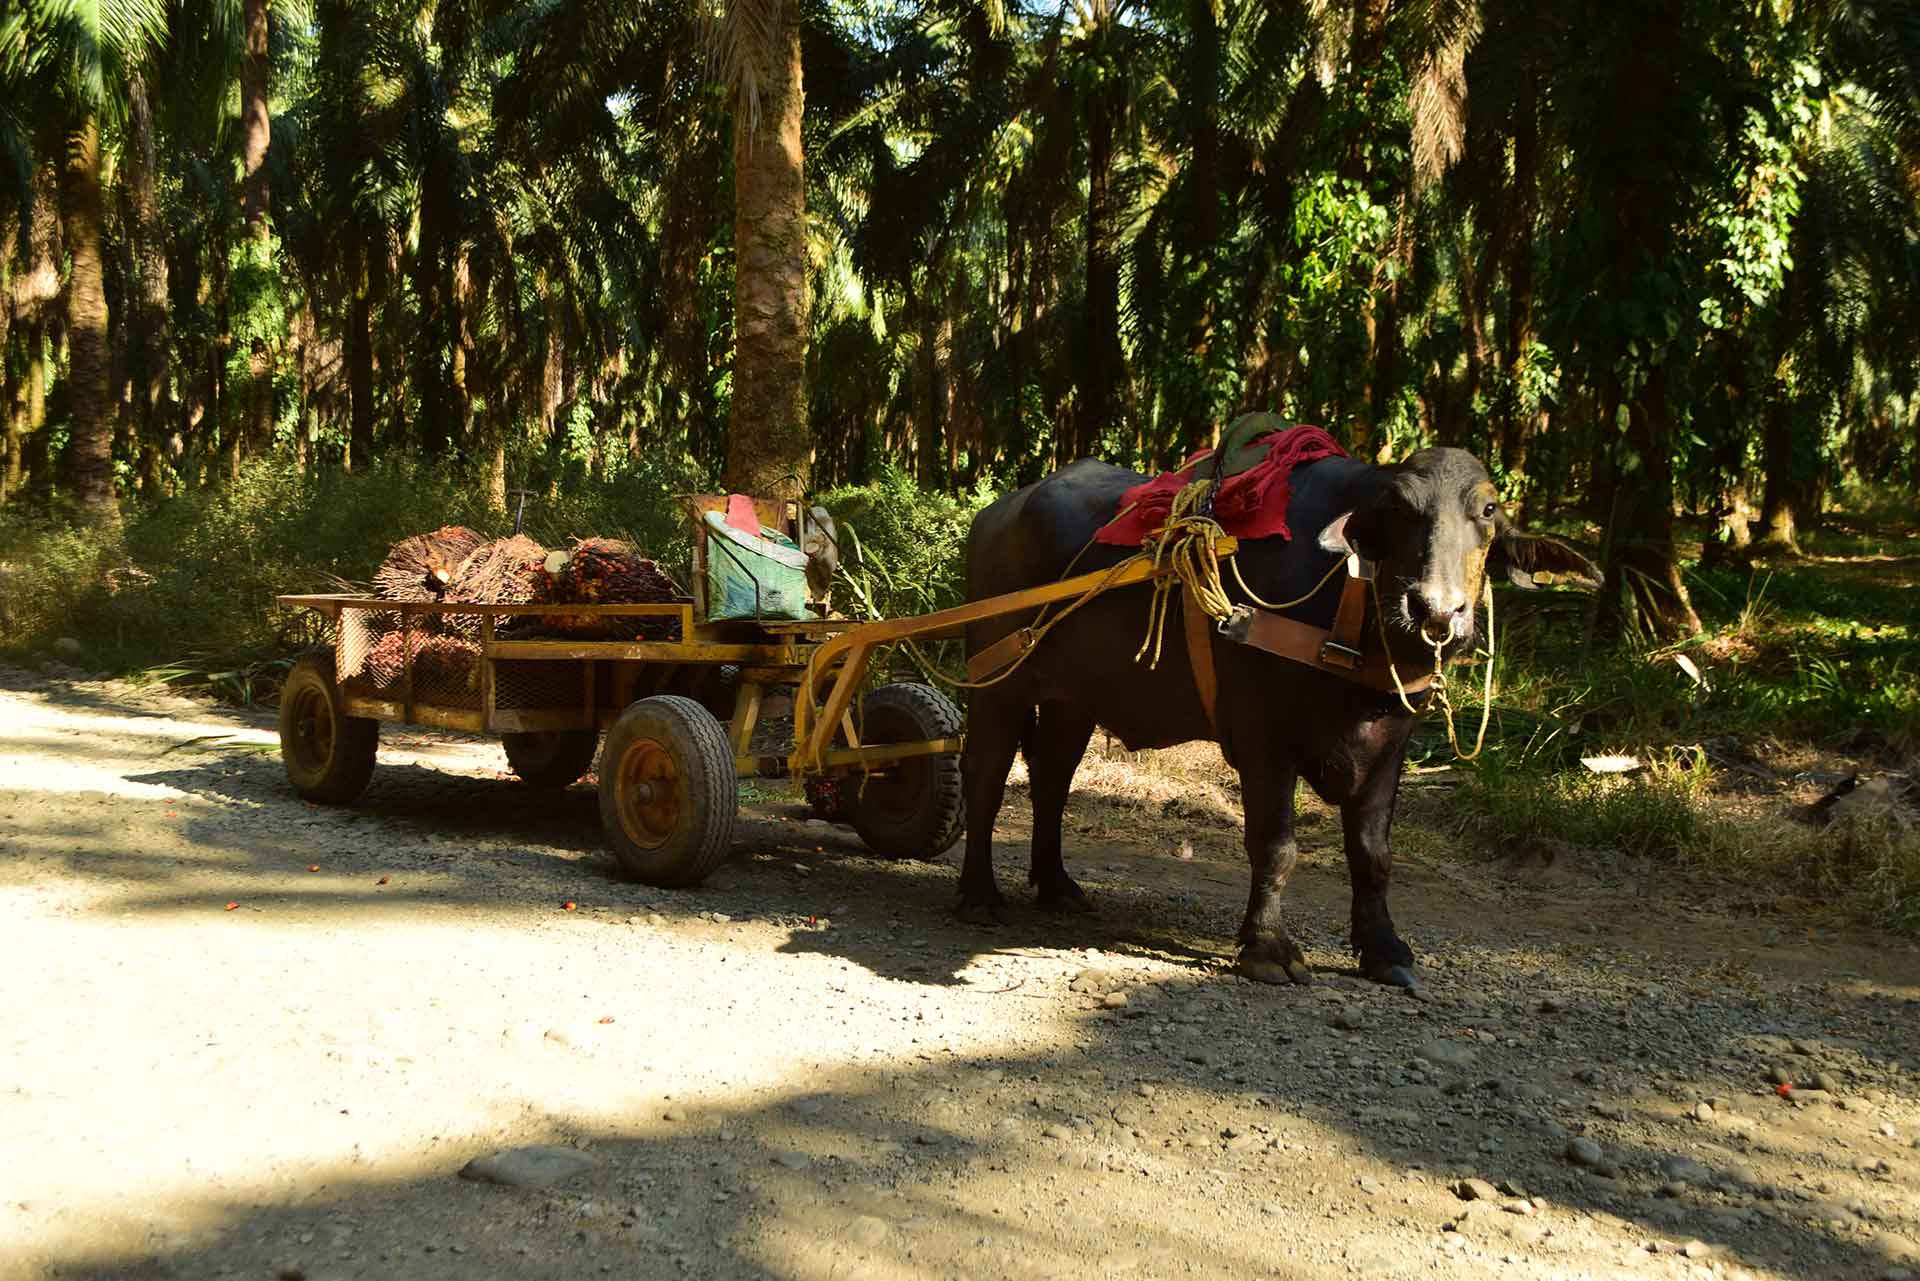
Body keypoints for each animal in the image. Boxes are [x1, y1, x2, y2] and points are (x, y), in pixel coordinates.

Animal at [952, 441, 1597, 990]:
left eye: (1486, 510)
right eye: (1397, 508)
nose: (1435, 611)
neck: (1348, 610)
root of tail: (994, 516)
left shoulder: (1392, 742)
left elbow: (1374, 854)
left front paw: (1384, 949)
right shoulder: (1263, 738)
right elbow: (1275, 843)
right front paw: (1268, 948)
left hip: (1073, 699)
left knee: (1052, 780)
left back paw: (1057, 884)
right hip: (997, 681)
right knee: (986, 776)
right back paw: (979, 893)